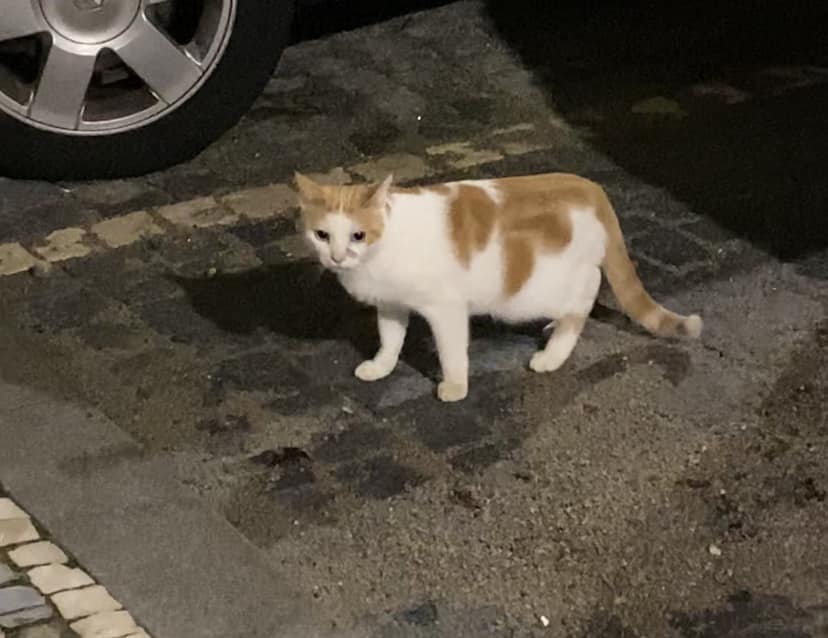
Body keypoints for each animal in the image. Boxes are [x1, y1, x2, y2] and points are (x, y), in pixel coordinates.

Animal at [294, 172, 700, 402]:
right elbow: (390, 339)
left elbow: (452, 353)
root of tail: (588, 187)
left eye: (358, 235)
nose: (336, 257)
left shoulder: (446, 308)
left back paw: (553, 354)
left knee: (586, 293)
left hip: (529, 291)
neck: (387, 241)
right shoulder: (392, 304)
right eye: (322, 235)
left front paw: (455, 387)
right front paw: (381, 366)